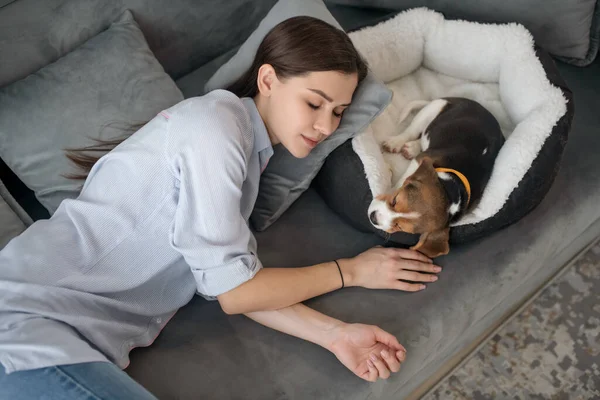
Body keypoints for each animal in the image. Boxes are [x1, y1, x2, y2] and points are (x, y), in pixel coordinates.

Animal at [368, 98, 504, 258]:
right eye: (395, 200)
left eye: (399, 226)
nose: (373, 217)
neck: (452, 187)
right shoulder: (421, 159)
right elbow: (404, 178)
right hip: (432, 109)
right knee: (412, 131)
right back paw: (396, 143)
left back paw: (411, 148)